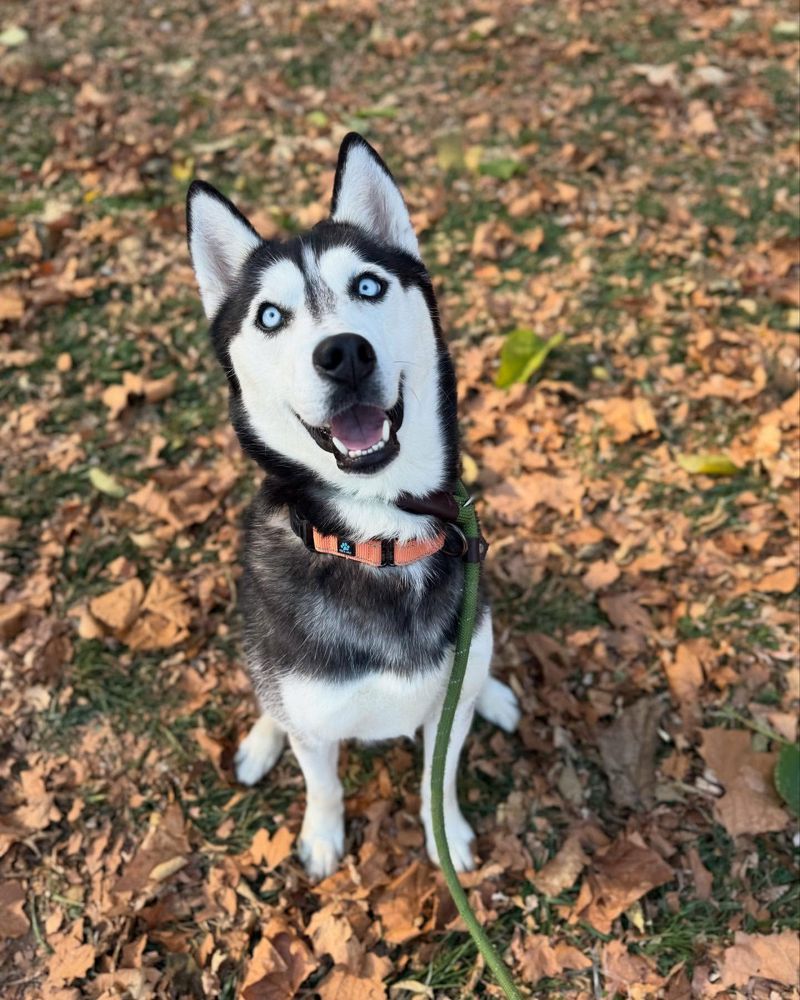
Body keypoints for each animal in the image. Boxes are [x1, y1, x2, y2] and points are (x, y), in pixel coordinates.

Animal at [186, 133, 520, 876]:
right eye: (270, 316)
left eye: (368, 285)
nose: (342, 353)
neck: (378, 538)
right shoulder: (313, 726)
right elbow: (324, 782)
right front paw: (322, 836)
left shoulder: (445, 708)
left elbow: (437, 781)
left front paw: (446, 838)